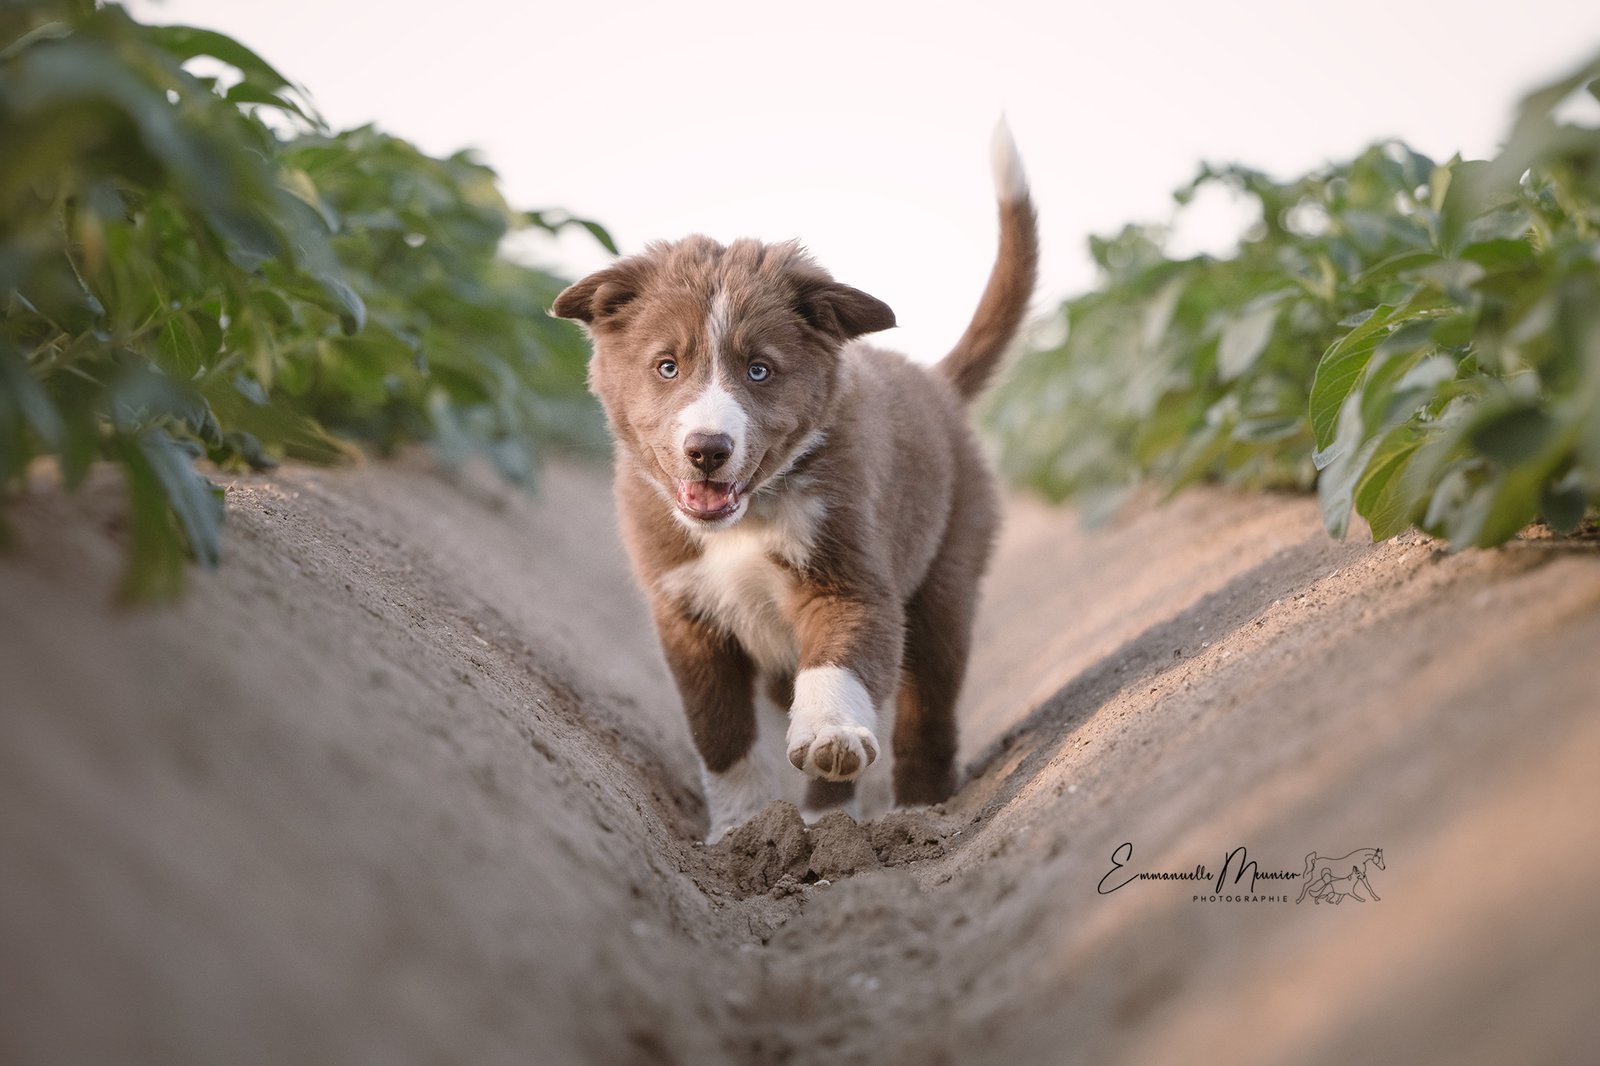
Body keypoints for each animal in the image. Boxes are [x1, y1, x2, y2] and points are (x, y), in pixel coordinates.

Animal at [556, 124, 1043, 838]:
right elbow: (719, 732)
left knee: (929, 704)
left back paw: (914, 812)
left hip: (949, 571)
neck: (747, 519)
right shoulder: (685, 612)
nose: (707, 450)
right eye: (667, 366)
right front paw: (740, 831)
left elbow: (840, 663)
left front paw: (831, 738)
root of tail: (934, 381)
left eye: (759, 370)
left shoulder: (852, 578)